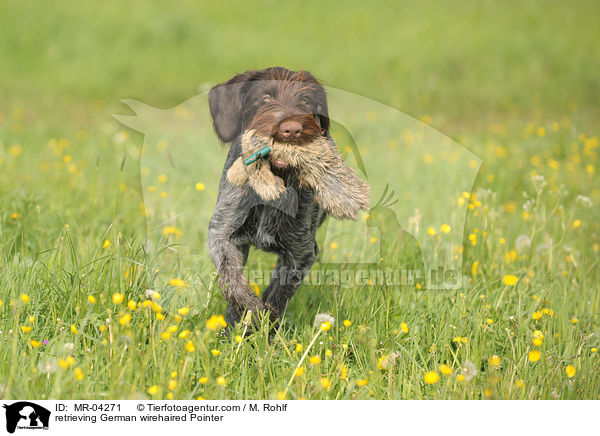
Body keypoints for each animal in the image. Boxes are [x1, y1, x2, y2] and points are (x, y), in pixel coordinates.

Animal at [207, 67, 366, 328]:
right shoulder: (223, 234)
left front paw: (265, 327)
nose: (291, 130)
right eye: (265, 97)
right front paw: (246, 313)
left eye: (305, 100)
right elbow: (231, 280)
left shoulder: (300, 254)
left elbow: (278, 295)